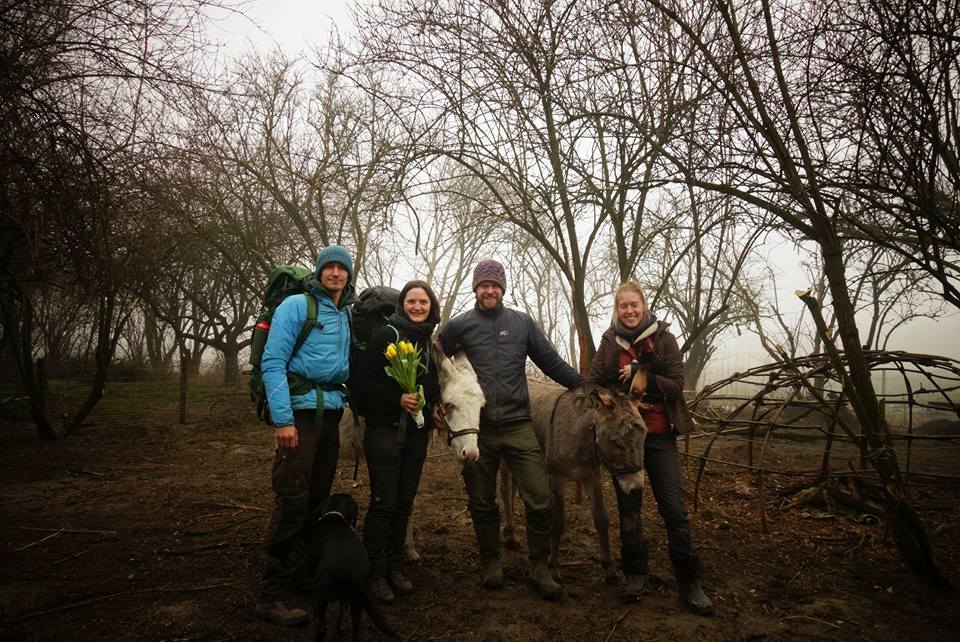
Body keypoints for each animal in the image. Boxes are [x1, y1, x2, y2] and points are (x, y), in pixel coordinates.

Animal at [306, 492, 400, 636]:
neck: (334, 514)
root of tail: (353, 572)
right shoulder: (347, 598)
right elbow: (342, 608)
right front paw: (340, 626)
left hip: (319, 597)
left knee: (321, 627)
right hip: (356, 601)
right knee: (357, 632)